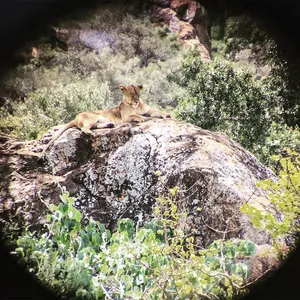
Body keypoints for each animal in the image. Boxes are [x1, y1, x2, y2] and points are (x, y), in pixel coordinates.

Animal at [39, 83, 169, 156]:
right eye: (131, 94)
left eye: (138, 93)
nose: (136, 101)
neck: (136, 106)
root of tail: (75, 117)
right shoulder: (125, 118)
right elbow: (137, 116)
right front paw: (143, 119)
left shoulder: (149, 110)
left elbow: (157, 111)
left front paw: (166, 115)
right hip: (93, 117)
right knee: (84, 128)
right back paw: (90, 132)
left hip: (99, 120)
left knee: (95, 126)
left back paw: (109, 125)